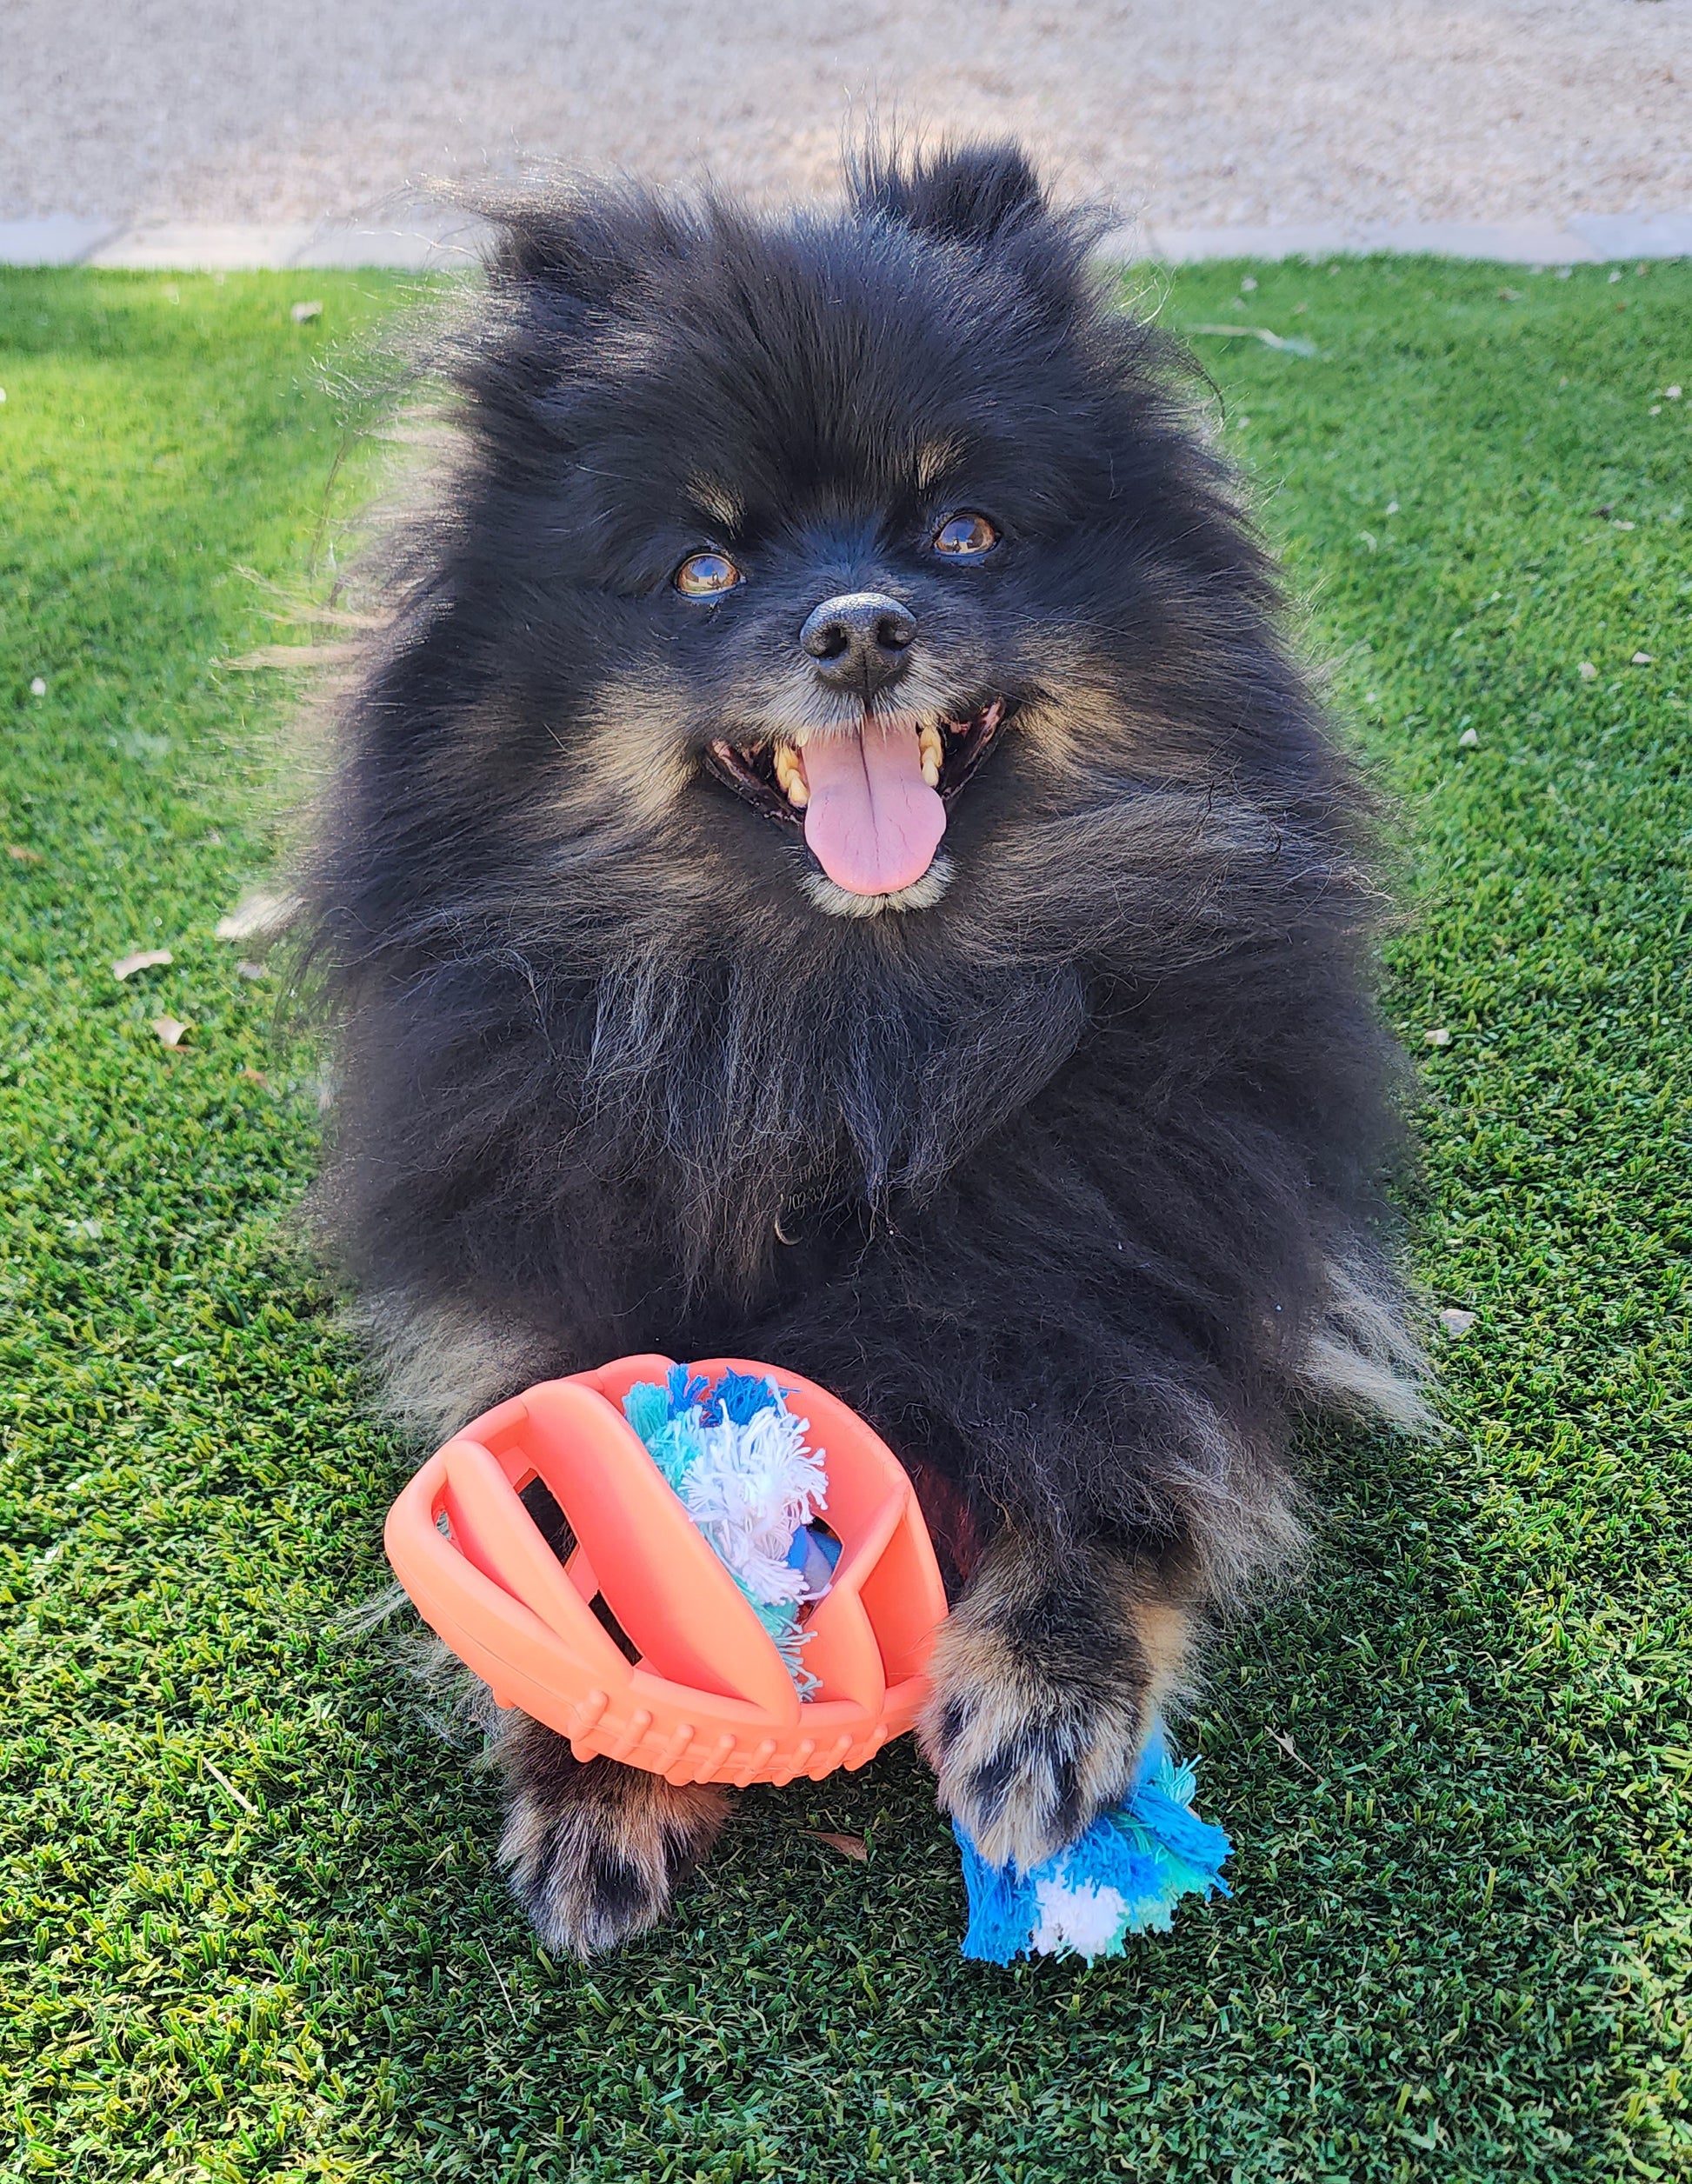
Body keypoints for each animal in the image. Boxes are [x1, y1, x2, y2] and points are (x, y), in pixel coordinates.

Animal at [308, 141, 1432, 1965]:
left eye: (961, 530)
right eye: (700, 567)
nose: (855, 625)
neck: (859, 1033)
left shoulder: (1154, 1236)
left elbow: (1118, 1433)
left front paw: (1047, 1694)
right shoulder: (551, 1255)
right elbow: (566, 1465)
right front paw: (600, 1760)